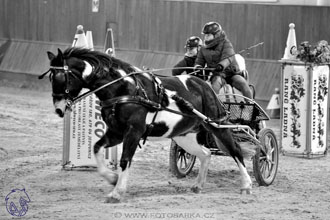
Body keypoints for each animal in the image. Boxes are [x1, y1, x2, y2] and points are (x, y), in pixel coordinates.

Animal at [43, 48, 255, 203]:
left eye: (60, 77)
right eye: (50, 77)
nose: (59, 108)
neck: (125, 89)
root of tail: (203, 84)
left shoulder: (133, 132)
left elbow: (125, 160)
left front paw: (117, 192)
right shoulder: (116, 132)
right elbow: (96, 148)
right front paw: (112, 178)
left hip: (216, 124)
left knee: (235, 150)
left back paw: (246, 185)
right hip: (183, 135)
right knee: (206, 153)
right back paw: (198, 185)